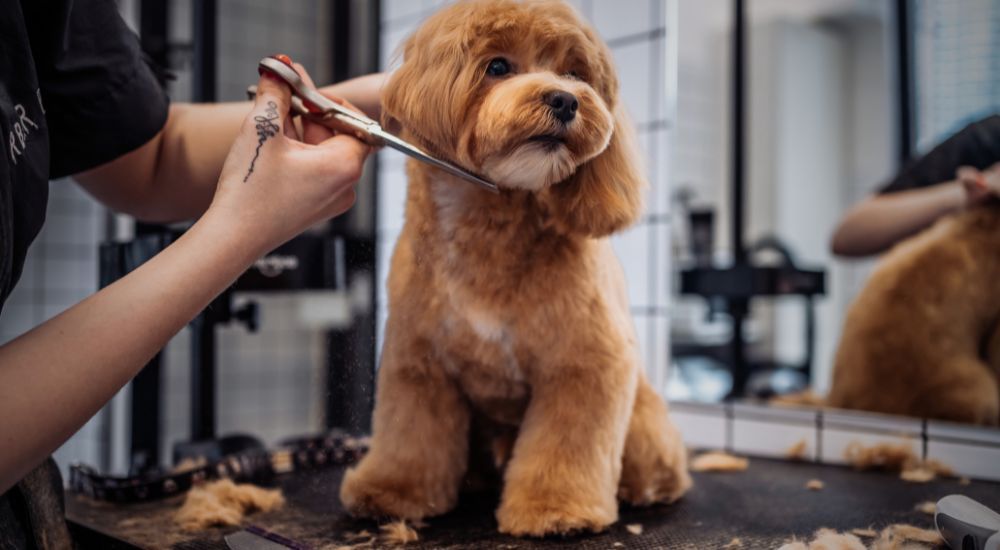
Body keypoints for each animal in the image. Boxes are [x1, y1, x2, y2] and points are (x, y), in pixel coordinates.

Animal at [340, 0, 692, 536]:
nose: (565, 100)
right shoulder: (418, 362)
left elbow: (565, 445)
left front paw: (555, 508)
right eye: (498, 66)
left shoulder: (585, 363)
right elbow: (410, 436)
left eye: (575, 73)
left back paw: (644, 487)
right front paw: (393, 490)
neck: (489, 230)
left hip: (643, 421)